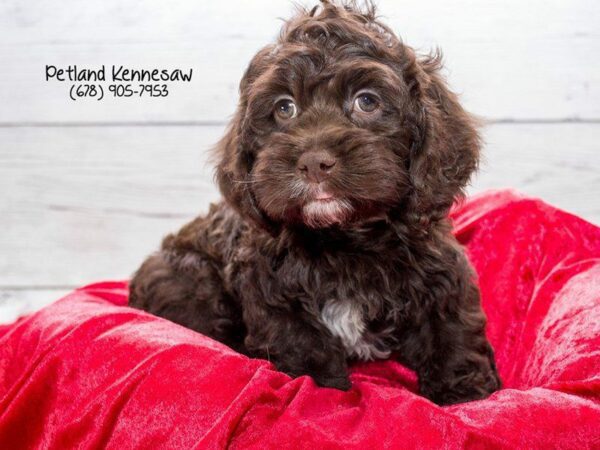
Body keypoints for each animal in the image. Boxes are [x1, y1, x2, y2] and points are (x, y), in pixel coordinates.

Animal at [130, 0, 502, 406]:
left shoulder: (440, 273)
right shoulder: (275, 298)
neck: (345, 240)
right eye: (284, 108)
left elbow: (450, 329)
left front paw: (465, 396)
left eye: (367, 101)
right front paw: (322, 395)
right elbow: (304, 347)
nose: (313, 162)